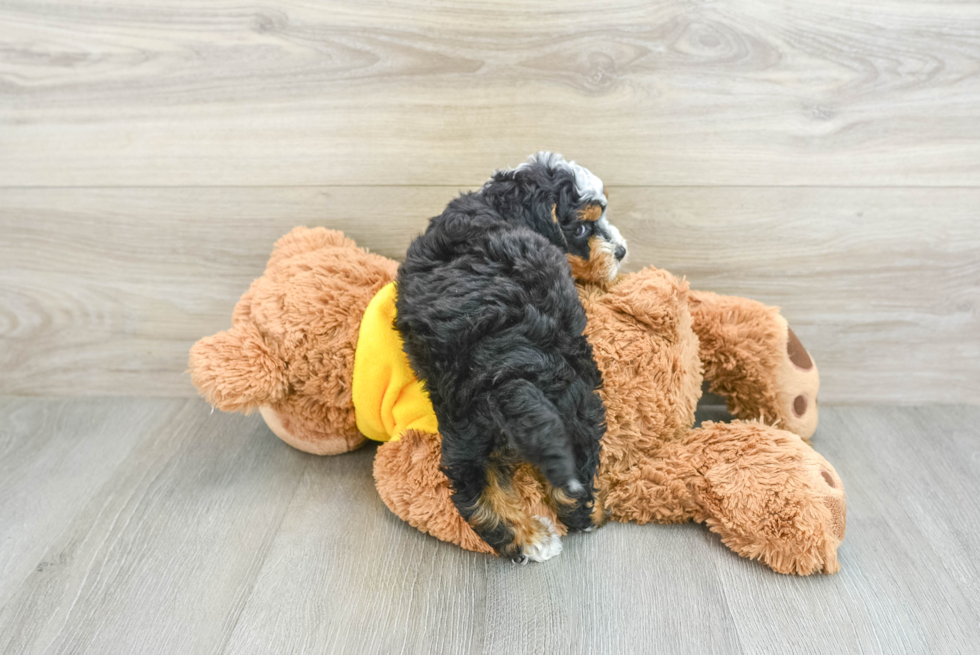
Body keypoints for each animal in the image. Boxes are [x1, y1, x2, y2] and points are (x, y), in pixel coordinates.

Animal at [396, 154, 628, 564]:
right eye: (585, 227)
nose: (621, 251)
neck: (500, 205)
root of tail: (507, 377)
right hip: (578, 405)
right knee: (575, 477)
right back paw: (593, 513)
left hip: (464, 426)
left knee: (472, 486)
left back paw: (529, 539)